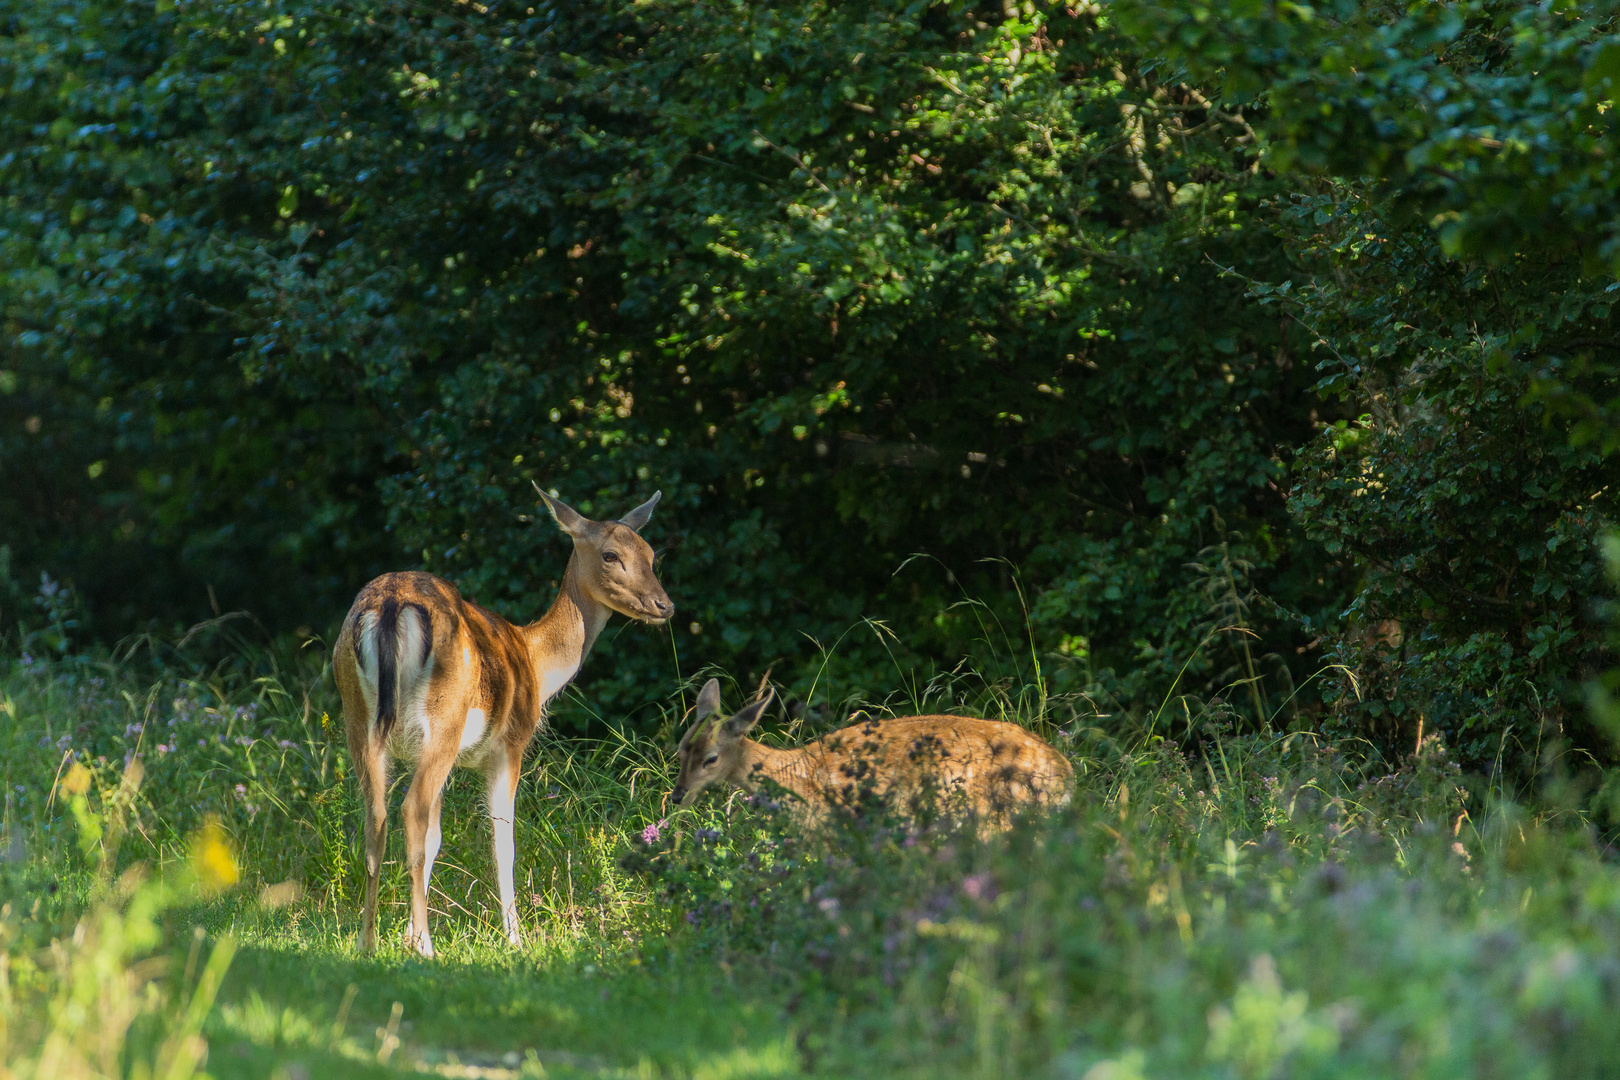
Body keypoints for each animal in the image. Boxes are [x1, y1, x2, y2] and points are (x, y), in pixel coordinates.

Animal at [333, 488, 670, 952]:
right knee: (411, 811)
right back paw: (428, 947)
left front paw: (406, 935)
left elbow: (437, 838)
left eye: (652, 554)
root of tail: (389, 604)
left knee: (377, 819)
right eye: (610, 555)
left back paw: (368, 942)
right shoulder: (510, 745)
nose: (664, 605)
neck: (534, 659)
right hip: (444, 720)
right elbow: (502, 839)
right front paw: (514, 938)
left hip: (359, 719)